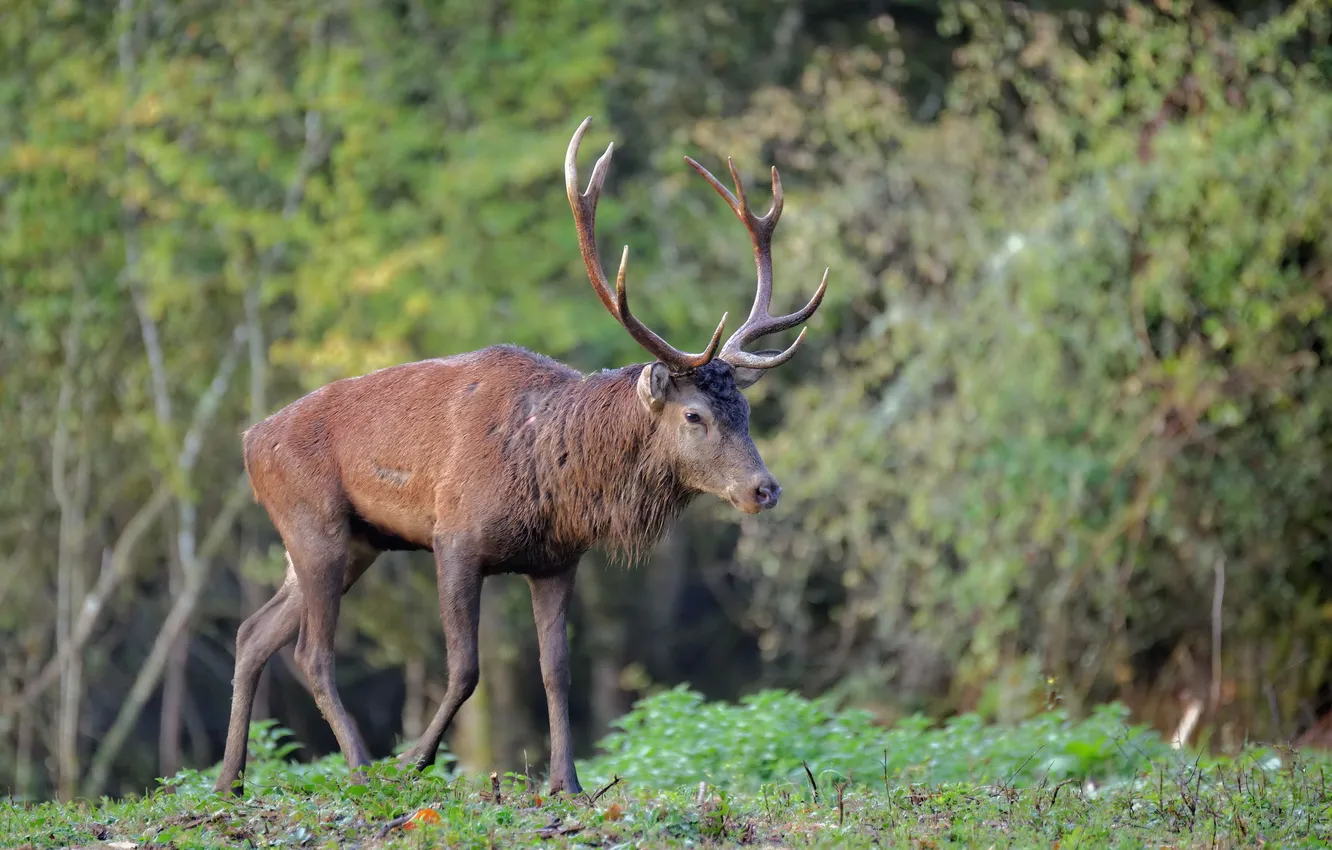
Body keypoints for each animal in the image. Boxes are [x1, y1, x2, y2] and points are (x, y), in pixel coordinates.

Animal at [213, 114, 825, 799]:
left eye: (745, 410)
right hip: (312, 521)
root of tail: (249, 441)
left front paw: (568, 783)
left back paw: (229, 781)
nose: (764, 488)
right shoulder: (454, 537)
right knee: (311, 654)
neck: (552, 477)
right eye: (695, 415)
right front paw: (415, 761)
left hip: (356, 541)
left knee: (252, 632)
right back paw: (365, 768)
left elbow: (556, 671)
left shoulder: (557, 561)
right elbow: (466, 668)